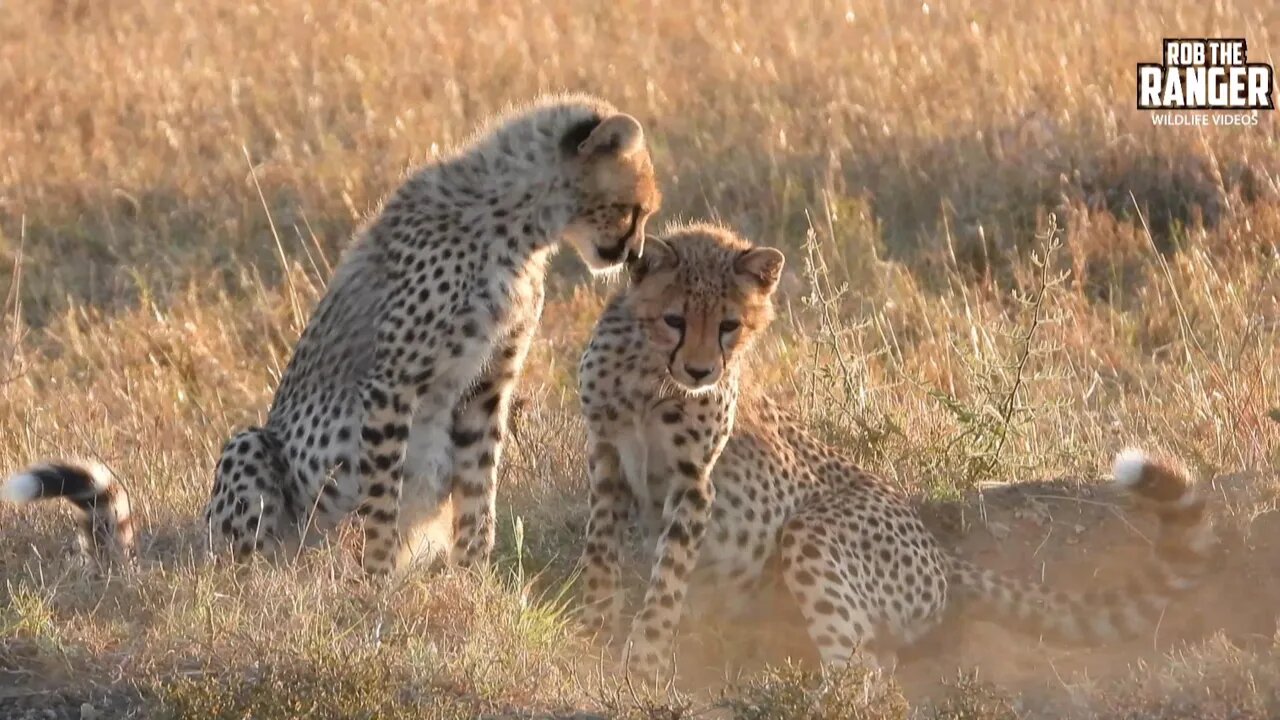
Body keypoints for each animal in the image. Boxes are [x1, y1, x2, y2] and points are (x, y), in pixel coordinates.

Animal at [0, 96, 660, 576]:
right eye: (634, 208)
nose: (633, 255)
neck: (519, 224)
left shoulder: (485, 389)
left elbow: (479, 494)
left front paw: (473, 586)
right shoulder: (394, 382)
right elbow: (383, 495)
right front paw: (376, 587)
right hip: (251, 454)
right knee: (254, 555)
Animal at [576, 222, 1213, 676]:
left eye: (730, 325)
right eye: (674, 319)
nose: (701, 370)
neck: (649, 377)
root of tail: (938, 550)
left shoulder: (695, 481)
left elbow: (667, 580)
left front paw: (644, 662)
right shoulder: (607, 461)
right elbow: (600, 559)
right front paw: (594, 639)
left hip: (814, 531)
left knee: (866, 668)